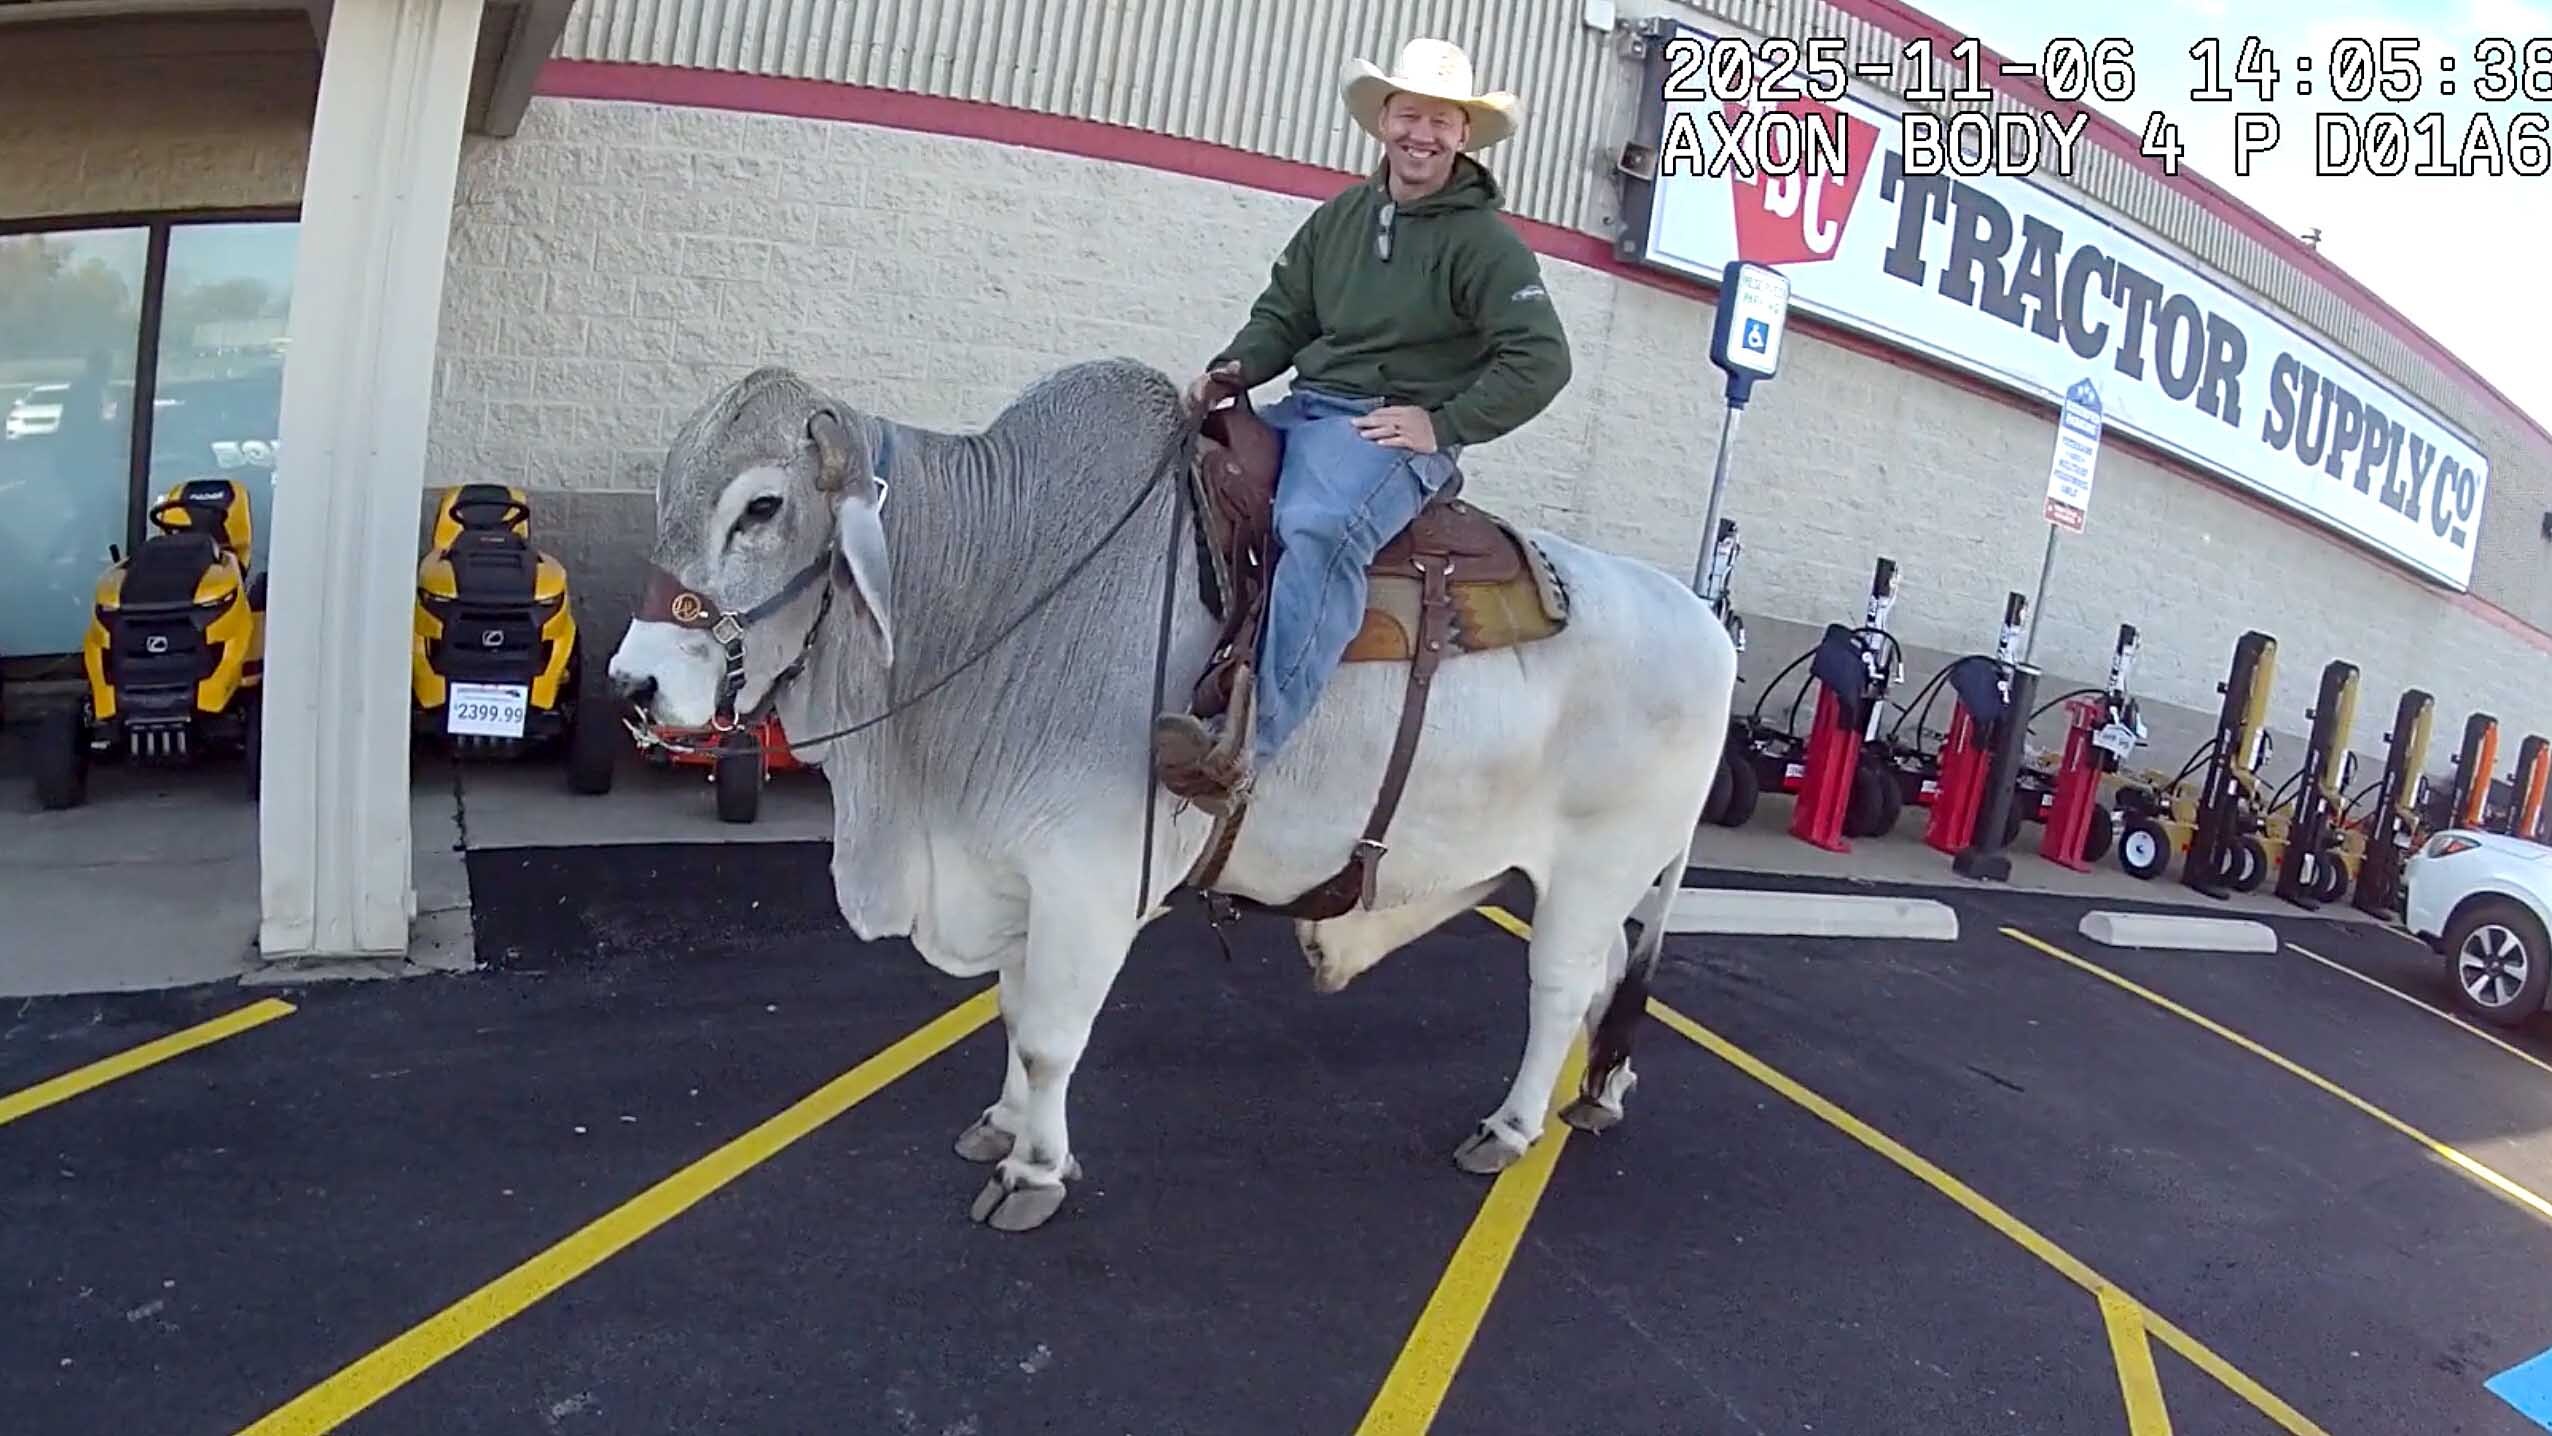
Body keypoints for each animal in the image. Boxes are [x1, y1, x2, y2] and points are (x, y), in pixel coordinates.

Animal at [606, 357, 1735, 1232]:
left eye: (761, 506)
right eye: (665, 493)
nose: (633, 684)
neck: (999, 591)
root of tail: (1705, 619)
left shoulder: (1089, 880)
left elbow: (1049, 1036)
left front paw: (1034, 1171)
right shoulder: (1011, 872)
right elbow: (1012, 1013)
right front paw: (1003, 1128)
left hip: (1590, 872)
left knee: (1558, 993)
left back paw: (1510, 1125)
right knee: (1607, 984)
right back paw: (1601, 1092)